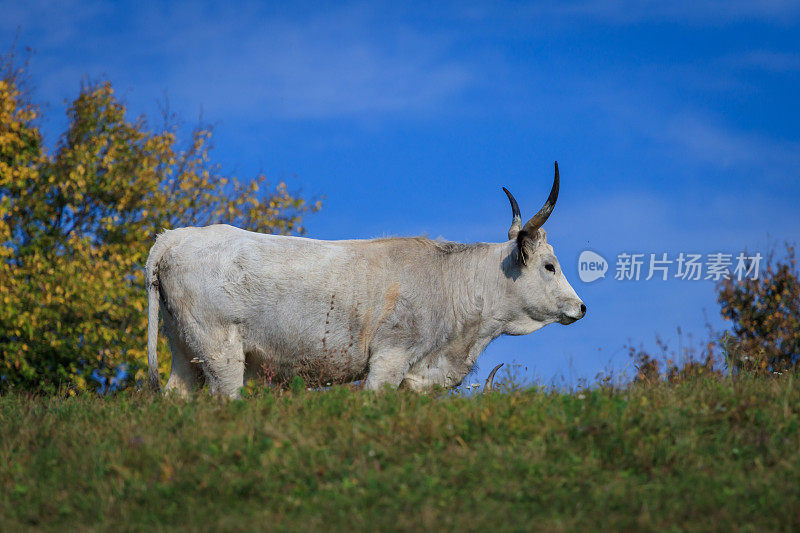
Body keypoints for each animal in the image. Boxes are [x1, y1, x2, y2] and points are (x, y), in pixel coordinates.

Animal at [142, 163, 580, 400]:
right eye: (550, 266)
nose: (581, 306)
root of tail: (174, 237)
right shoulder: (390, 358)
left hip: (185, 348)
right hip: (220, 350)